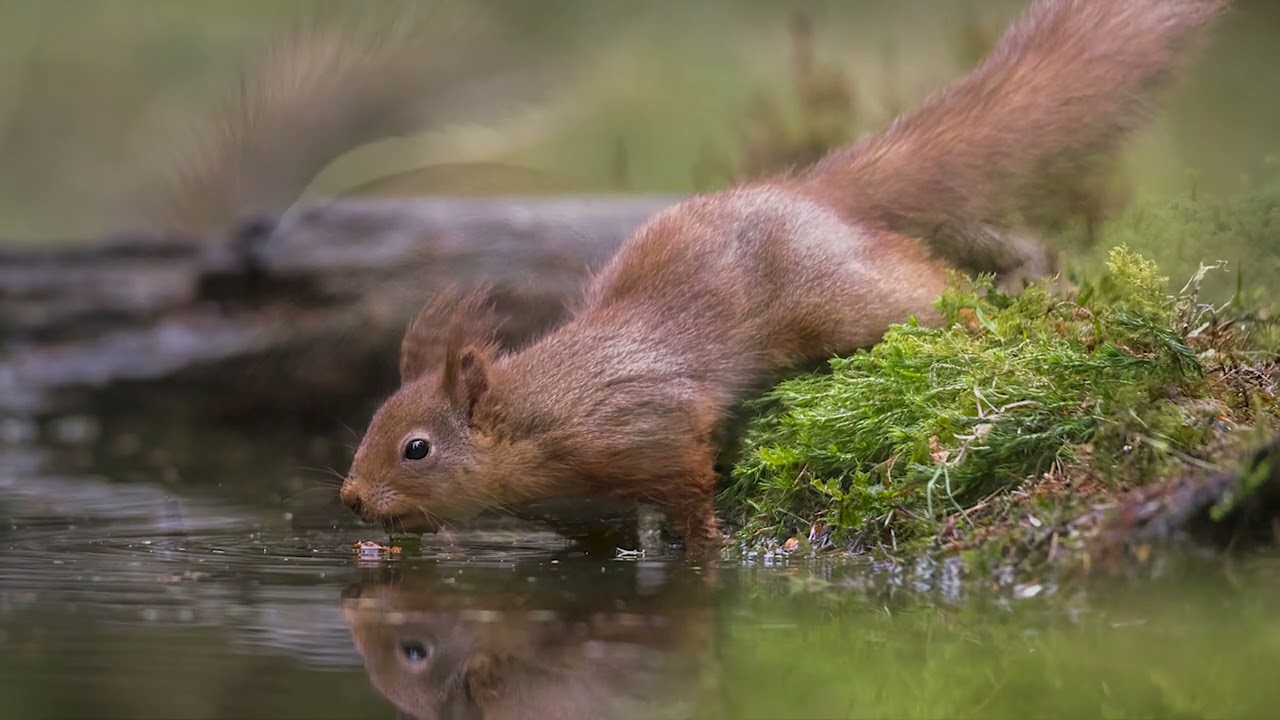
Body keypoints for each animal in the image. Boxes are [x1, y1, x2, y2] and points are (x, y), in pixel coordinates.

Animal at [340, 0, 1228, 558]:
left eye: (416, 449)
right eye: (375, 424)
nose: (350, 499)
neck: (535, 418)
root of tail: (810, 192)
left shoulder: (644, 426)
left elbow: (687, 482)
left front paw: (708, 543)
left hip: (848, 298)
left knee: (923, 284)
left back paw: (997, 303)